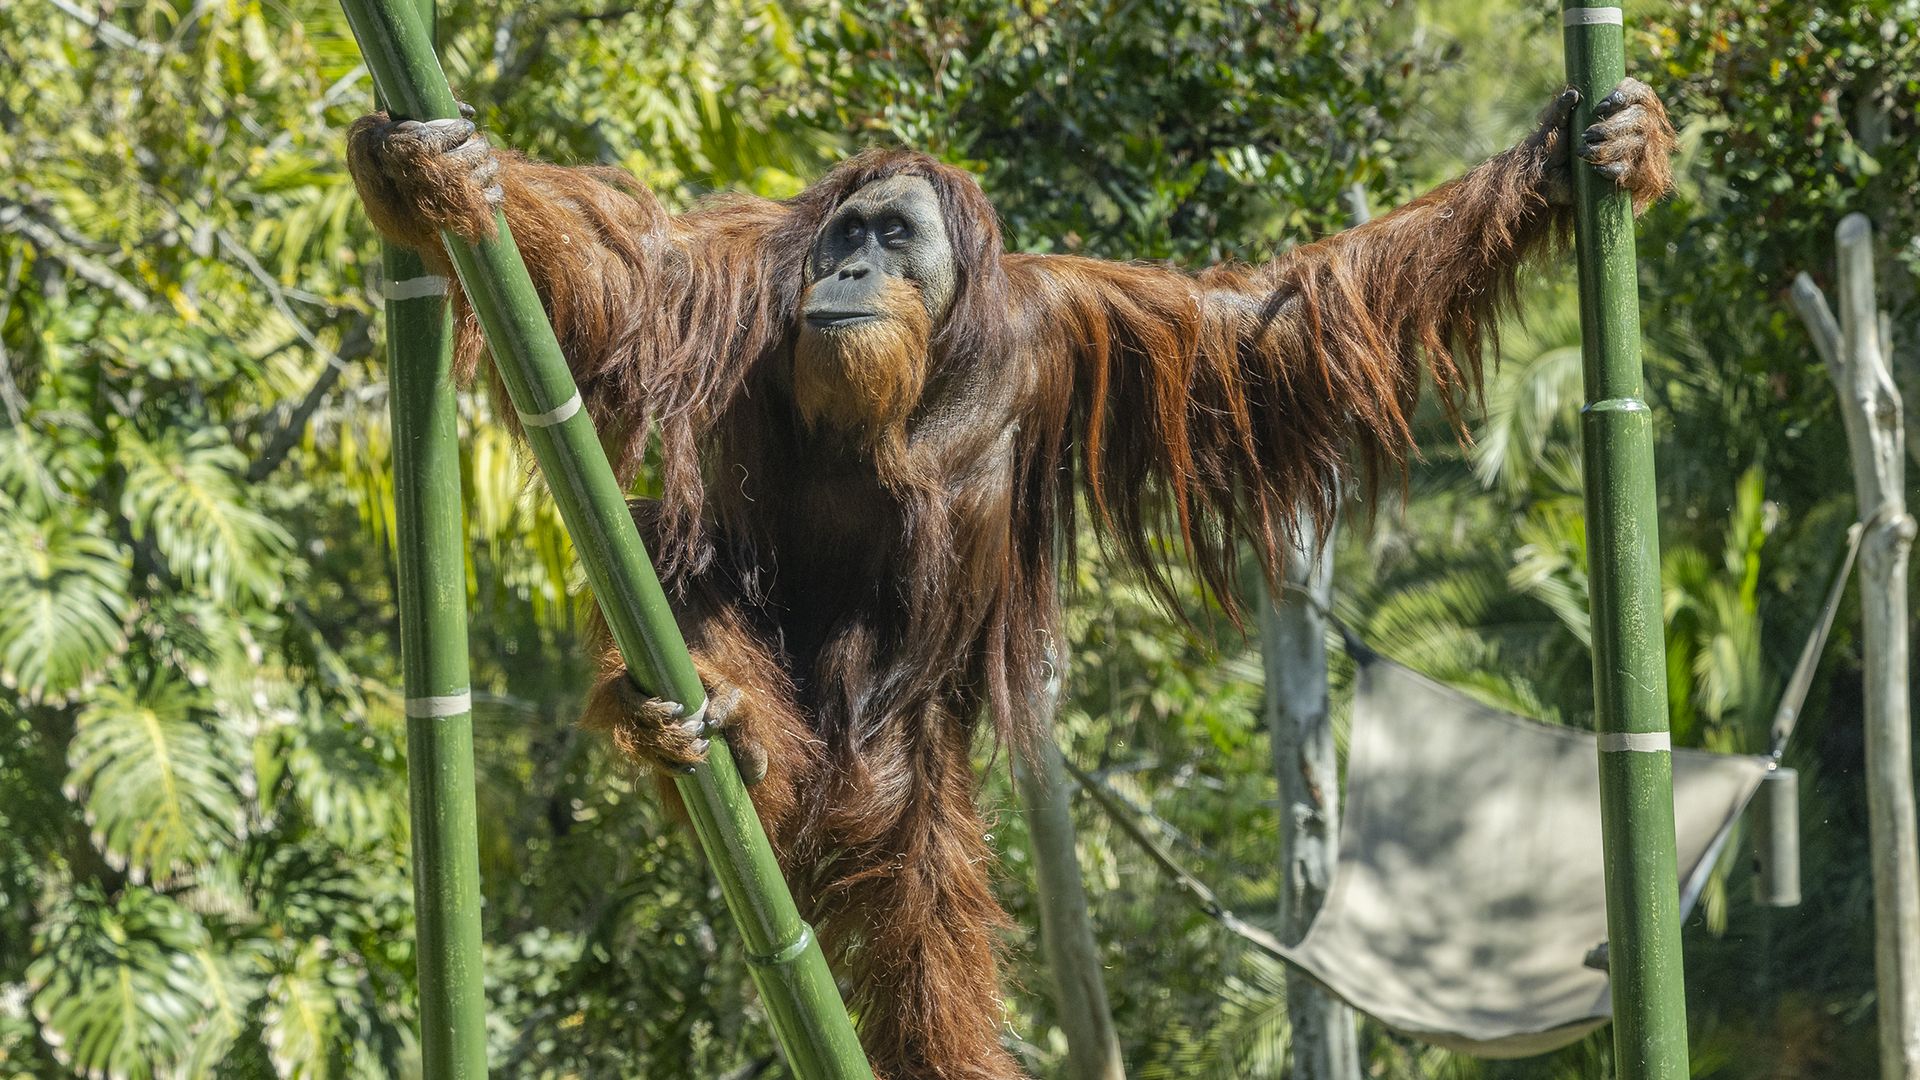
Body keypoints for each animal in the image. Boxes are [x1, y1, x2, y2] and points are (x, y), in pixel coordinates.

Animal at [348, 78, 1675, 1079]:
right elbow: (629, 270)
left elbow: (1263, 333)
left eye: (893, 237)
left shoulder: (1071, 319)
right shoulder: (745, 273)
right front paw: (425, 171)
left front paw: (1576, 157)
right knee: (666, 563)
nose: (845, 276)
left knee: (931, 953)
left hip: (918, 777)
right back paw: (714, 720)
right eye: (842, 236)